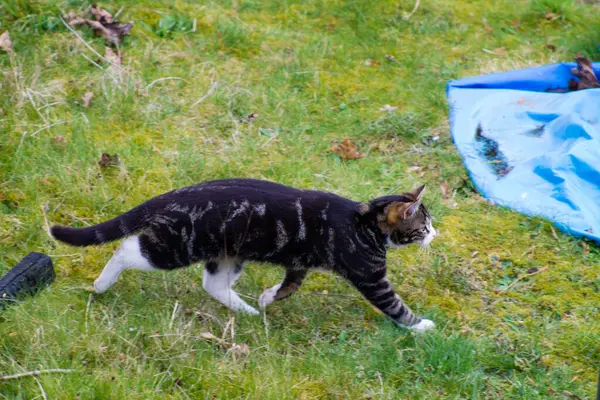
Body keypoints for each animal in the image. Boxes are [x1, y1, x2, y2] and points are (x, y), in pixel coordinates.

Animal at [50, 178, 436, 332]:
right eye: (424, 224)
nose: (436, 233)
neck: (364, 220)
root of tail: (175, 194)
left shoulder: (298, 263)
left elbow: (287, 287)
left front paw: (266, 298)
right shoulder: (370, 276)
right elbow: (395, 305)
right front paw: (421, 326)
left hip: (228, 254)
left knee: (213, 284)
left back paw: (248, 311)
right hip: (175, 246)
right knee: (128, 248)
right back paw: (101, 284)